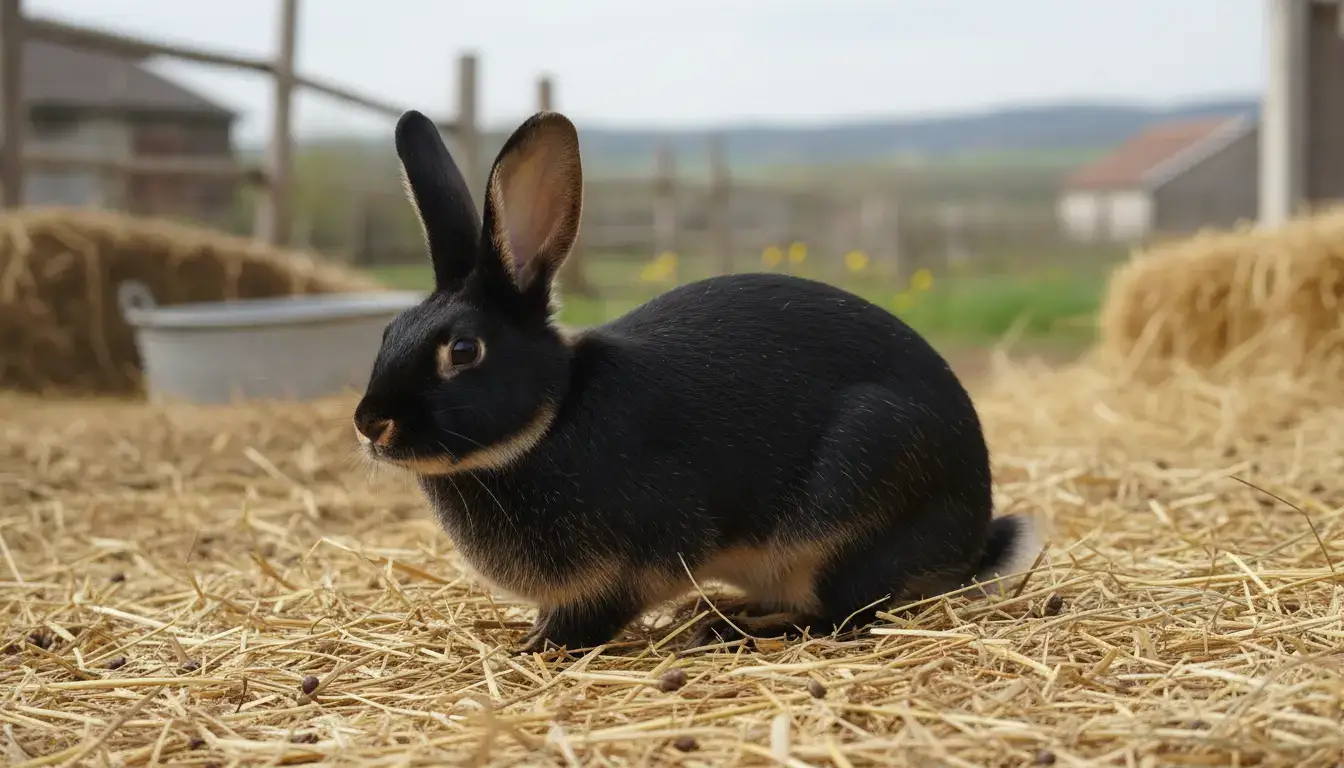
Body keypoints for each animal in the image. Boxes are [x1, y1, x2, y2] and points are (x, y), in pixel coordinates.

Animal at [353, 108, 1043, 654]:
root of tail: (971, 541)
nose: (370, 424)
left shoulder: (630, 566)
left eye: (463, 350)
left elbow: (589, 619)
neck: (552, 417)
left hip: (859, 496)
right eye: (388, 332)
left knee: (844, 616)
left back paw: (731, 629)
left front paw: (533, 648)